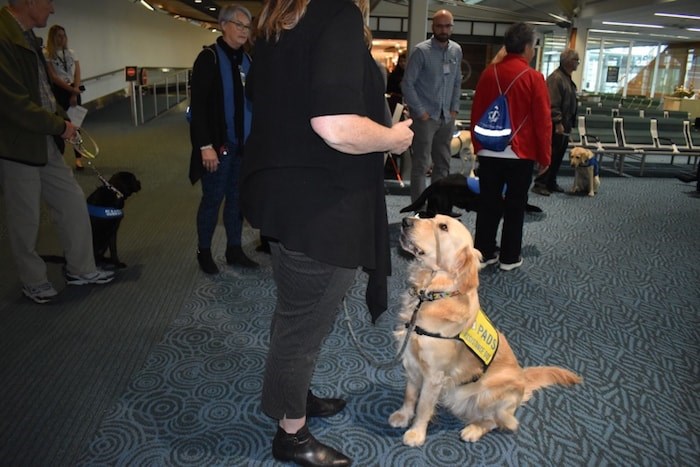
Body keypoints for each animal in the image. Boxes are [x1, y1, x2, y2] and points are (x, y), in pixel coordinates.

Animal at [392, 214, 584, 448]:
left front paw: (416, 433)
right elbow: (410, 394)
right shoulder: (411, 360)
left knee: (501, 422)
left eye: (443, 227)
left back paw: (473, 430)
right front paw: (403, 415)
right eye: (430, 216)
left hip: (487, 394)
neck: (431, 294)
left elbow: (423, 406)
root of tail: (522, 377)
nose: (406, 221)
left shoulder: (434, 375)